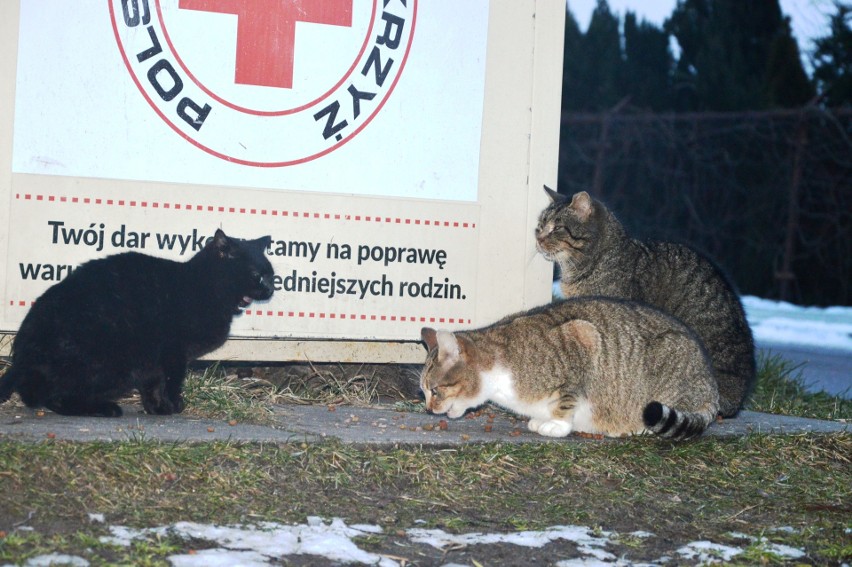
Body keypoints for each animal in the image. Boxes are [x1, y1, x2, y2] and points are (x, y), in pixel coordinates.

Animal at [0, 229, 274, 420]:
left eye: (271, 275)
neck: (205, 286)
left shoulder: (151, 360)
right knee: (55, 397)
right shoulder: (174, 351)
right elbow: (172, 381)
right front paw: (174, 405)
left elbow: (152, 385)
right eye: (257, 275)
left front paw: (157, 408)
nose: (271, 288)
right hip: (109, 364)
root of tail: (23, 353)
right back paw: (104, 408)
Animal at [420, 298, 720, 440]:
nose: (428, 409)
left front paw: (557, 425)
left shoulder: (582, 337)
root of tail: (711, 386)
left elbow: (566, 400)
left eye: (435, 391)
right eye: (423, 392)